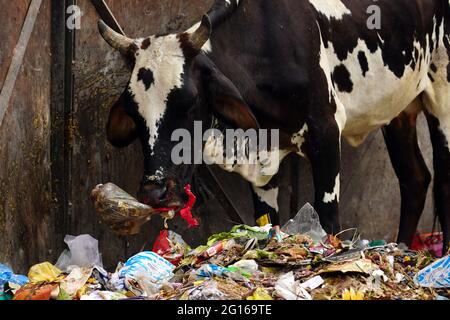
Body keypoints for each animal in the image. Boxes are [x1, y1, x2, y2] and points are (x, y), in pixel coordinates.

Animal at [98, 0, 450, 251]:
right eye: (133, 110)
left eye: (190, 102)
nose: (154, 192)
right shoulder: (262, 160)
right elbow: (267, 222)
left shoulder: (326, 132)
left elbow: (328, 218)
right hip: (400, 109)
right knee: (414, 179)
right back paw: (402, 249)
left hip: (442, 95)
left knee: (442, 182)